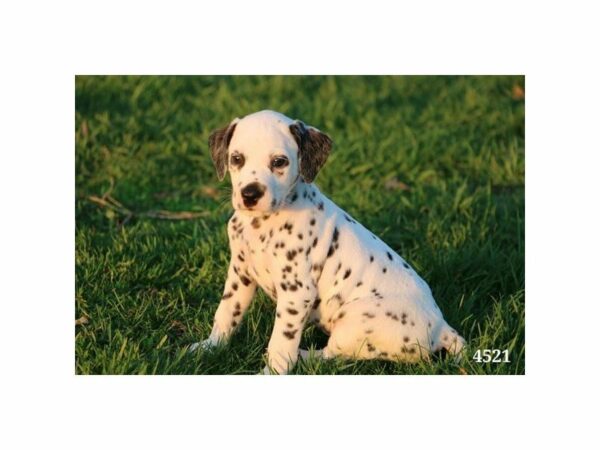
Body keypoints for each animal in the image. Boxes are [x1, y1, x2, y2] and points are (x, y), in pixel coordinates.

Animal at [190, 109, 466, 372]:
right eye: (237, 159)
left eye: (279, 162)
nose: (250, 194)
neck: (262, 224)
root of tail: (442, 328)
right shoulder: (240, 274)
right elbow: (227, 312)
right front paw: (212, 346)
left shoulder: (296, 292)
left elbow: (281, 341)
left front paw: (273, 371)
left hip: (355, 321)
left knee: (333, 355)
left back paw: (302, 356)